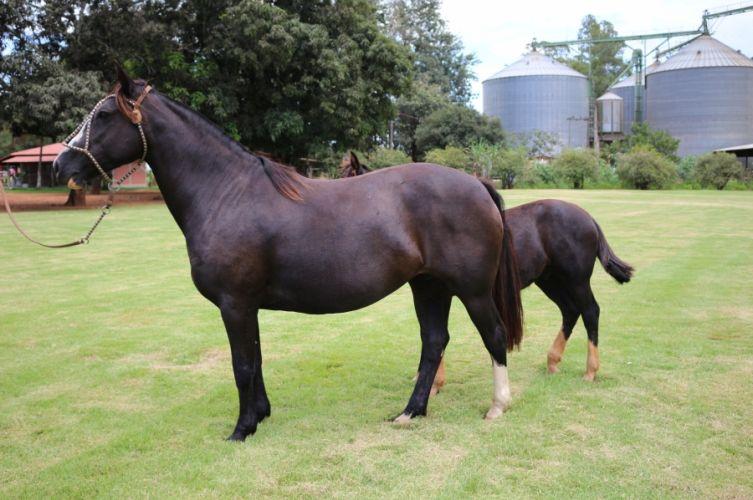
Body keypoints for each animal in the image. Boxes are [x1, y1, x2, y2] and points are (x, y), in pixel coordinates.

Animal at [53, 68, 524, 440]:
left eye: (104, 115)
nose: (61, 165)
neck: (226, 193)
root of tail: (476, 182)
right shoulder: (246, 306)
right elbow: (256, 359)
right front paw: (261, 416)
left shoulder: (235, 304)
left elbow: (242, 365)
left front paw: (242, 429)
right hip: (428, 286)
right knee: (433, 342)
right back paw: (411, 412)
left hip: (472, 290)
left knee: (494, 335)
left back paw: (497, 407)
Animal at [340, 152, 628, 382]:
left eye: (348, 176)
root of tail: (587, 217)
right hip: (550, 280)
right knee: (570, 311)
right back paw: (553, 361)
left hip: (576, 280)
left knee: (590, 311)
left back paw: (590, 370)